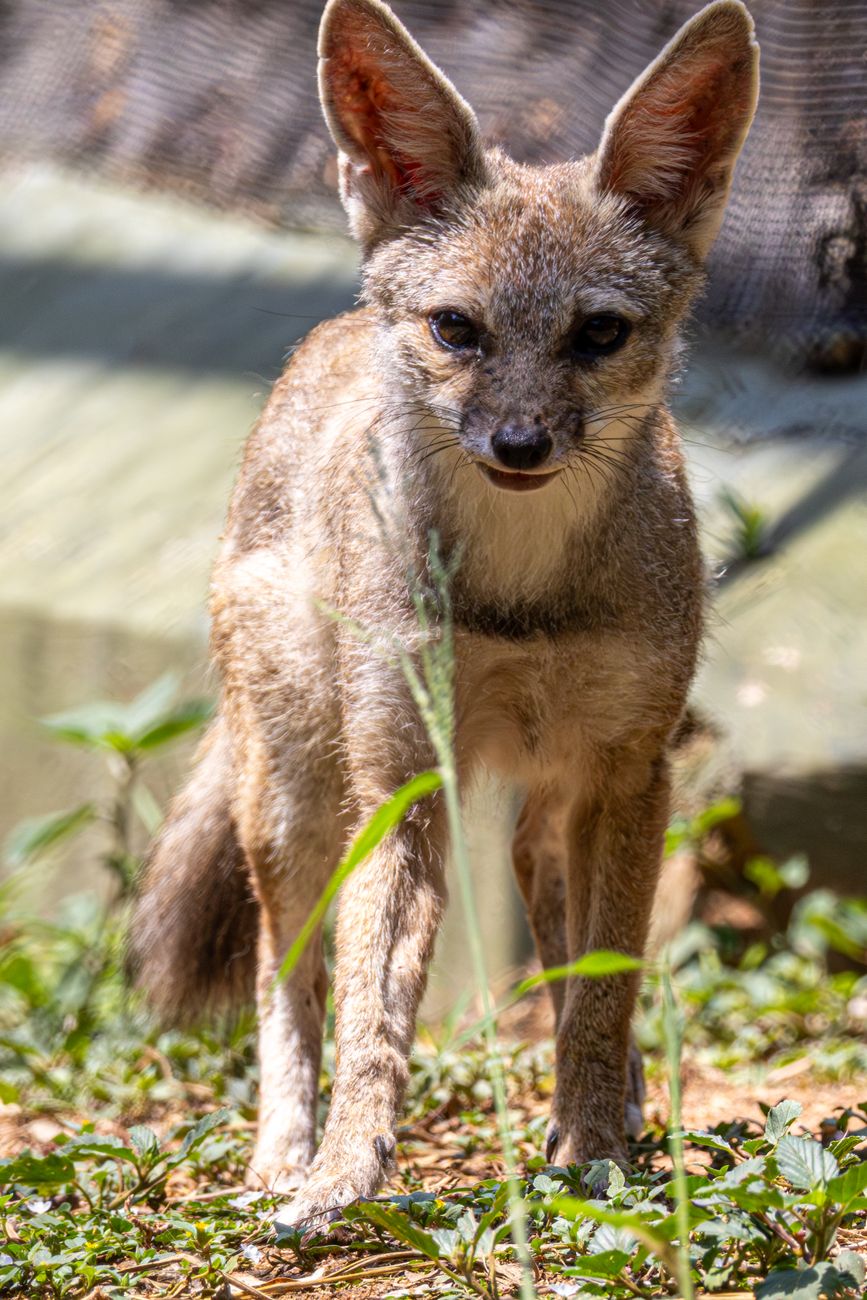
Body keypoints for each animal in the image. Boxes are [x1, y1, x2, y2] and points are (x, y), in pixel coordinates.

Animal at [129, 0, 759, 1230]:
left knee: (548, 913)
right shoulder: (401, 781)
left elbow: (602, 989)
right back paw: (280, 1151)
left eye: (597, 335)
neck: (520, 597)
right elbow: (373, 1012)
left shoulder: (630, 770)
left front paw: (595, 1148)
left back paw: (614, 1104)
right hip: (294, 800)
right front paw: (342, 1173)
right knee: (286, 966)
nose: (517, 444)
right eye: (457, 329)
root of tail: (328, 330)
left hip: (549, 795)